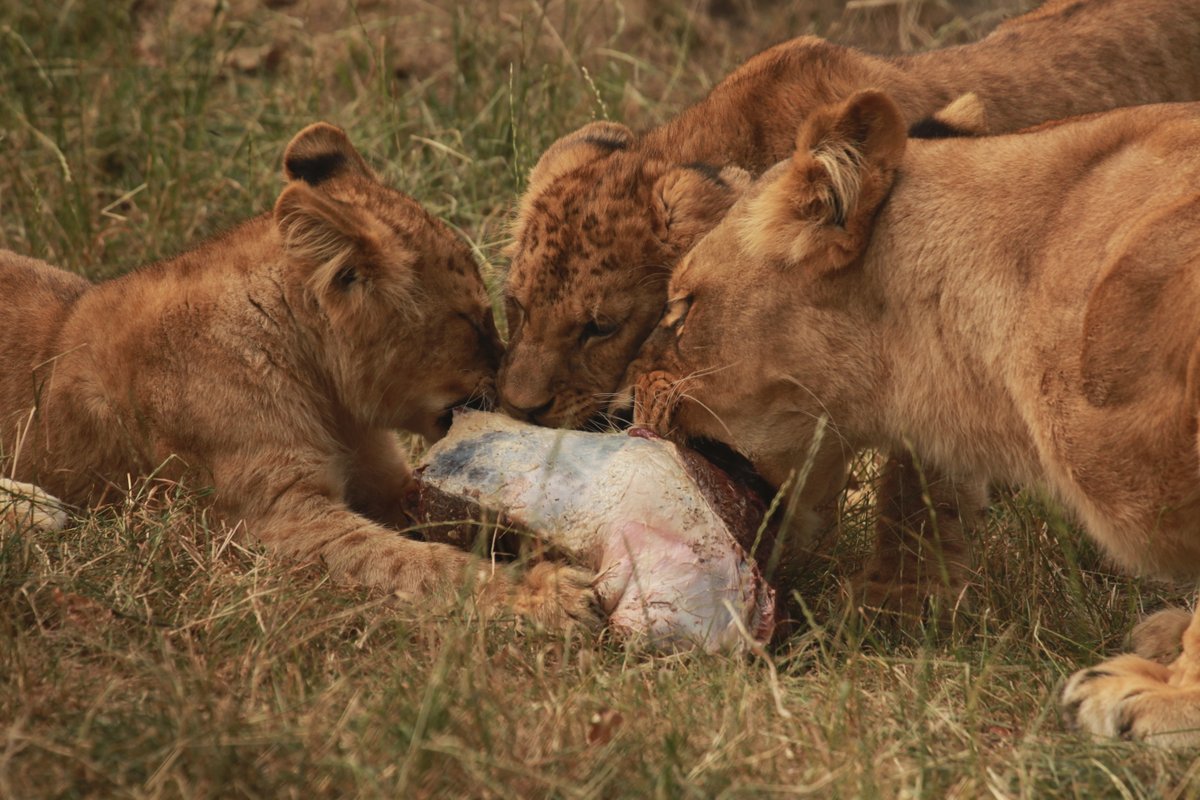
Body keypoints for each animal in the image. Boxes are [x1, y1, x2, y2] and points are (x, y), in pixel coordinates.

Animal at [0, 123, 595, 623]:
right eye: (472, 320)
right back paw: (35, 510)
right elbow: (424, 564)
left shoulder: (384, 477)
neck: (327, 394)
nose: (514, 395)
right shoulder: (278, 522)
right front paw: (550, 592)